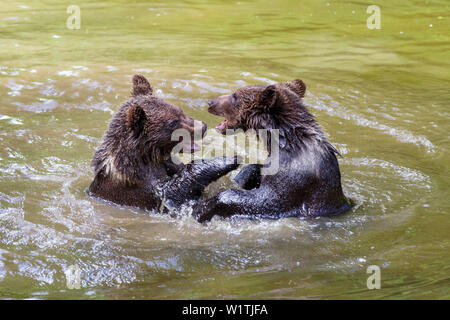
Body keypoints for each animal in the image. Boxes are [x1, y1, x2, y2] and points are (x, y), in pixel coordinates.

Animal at [89, 75, 241, 212]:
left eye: (180, 111)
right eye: (173, 122)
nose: (203, 127)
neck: (147, 157)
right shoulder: (139, 188)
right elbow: (173, 192)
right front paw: (226, 160)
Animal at [192, 79, 350, 222]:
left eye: (235, 95)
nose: (210, 102)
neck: (284, 143)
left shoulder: (296, 176)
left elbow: (269, 200)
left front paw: (200, 209)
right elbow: (257, 169)